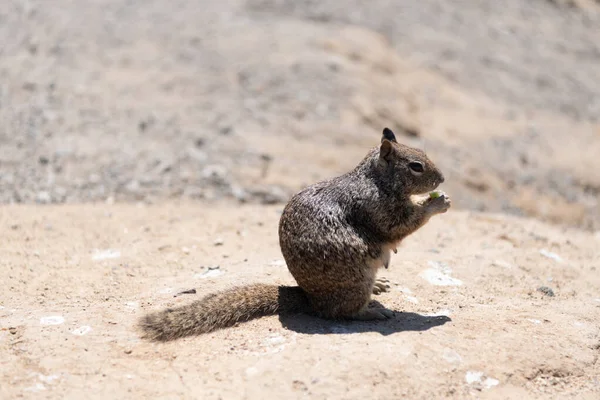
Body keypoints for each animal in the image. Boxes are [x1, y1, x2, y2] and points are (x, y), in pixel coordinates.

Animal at [139, 127, 450, 340]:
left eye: (423, 154)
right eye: (416, 166)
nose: (443, 178)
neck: (377, 180)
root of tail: (309, 298)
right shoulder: (378, 208)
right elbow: (400, 226)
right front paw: (436, 203)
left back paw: (379, 286)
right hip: (355, 282)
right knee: (341, 312)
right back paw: (374, 311)